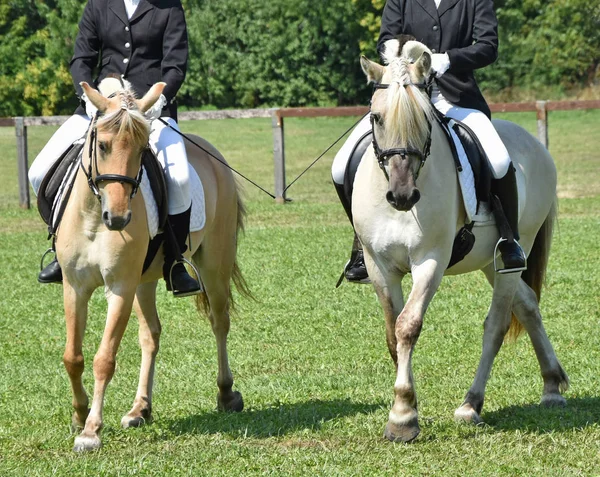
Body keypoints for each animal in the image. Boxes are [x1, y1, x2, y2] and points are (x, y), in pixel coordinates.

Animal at [54, 78, 246, 450]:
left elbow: (104, 358)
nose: (118, 218)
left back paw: (226, 394)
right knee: (151, 335)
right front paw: (79, 415)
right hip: (145, 281)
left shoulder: (119, 288)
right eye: (103, 146)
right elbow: (73, 356)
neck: (94, 218)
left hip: (213, 264)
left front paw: (91, 430)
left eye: (143, 150)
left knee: (219, 322)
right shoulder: (75, 287)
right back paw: (140, 409)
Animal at [354, 41, 568, 442]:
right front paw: (405, 406)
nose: (403, 196)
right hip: (489, 262)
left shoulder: (430, 261)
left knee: (497, 324)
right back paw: (551, 385)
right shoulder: (379, 266)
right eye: (376, 117)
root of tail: (535, 144)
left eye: (424, 119)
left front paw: (403, 416)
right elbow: (392, 333)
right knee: (528, 305)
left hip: (511, 256)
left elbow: (408, 326)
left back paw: (472, 404)